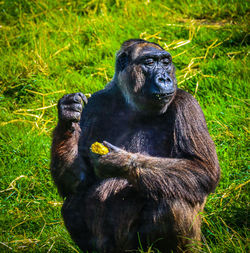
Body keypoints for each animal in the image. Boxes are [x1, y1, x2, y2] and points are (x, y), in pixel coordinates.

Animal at [50, 38, 221, 252]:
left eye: (166, 62)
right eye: (149, 62)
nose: (165, 78)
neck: (131, 103)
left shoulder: (187, 105)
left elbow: (201, 168)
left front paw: (120, 161)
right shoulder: (95, 104)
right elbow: (76, 181)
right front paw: (67, 114)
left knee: (173, 200)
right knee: (72, 203)